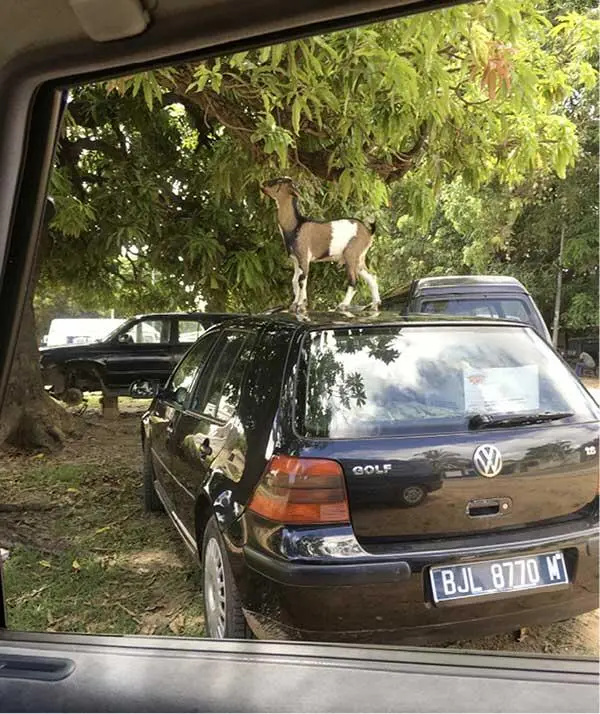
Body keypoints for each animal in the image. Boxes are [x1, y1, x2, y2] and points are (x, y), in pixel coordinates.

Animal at [258, 175, 380, 308]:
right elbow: (295, 281)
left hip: (351, 253)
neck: (296, 226)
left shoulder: (304, 256)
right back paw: (376, 303)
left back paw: (343, 304)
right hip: (360, 257)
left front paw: (301, 304)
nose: (263, 184)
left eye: (279, 181)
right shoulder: (295, 259)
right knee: (371, 276)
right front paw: (295, 303)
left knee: (353, 280)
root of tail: (368, 232)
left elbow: (302, 280)